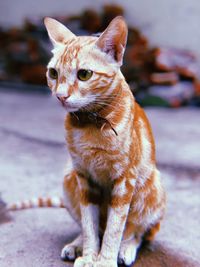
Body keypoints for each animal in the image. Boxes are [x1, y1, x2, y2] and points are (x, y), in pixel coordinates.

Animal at [44, 16, 166, 267]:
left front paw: (105, 260)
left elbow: (115, 228)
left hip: (152, 186)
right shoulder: (83, 177)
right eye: (53, 73)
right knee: (91, 226)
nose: (60, 95)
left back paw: (126, 249)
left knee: (137, 231)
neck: (89, 126)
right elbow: (89, 225)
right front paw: (90, 255)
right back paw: (76, 245)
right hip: (68, 176)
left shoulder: (125, 180)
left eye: (84, 74)